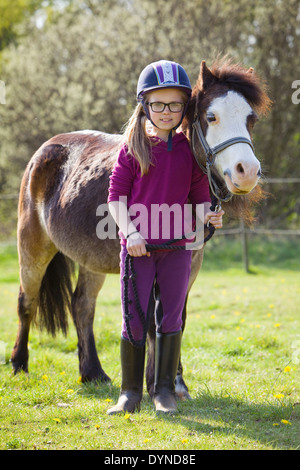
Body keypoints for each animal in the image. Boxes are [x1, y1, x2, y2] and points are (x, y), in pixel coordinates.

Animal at [11, 57, 270, 398]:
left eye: (251, 119)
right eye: (211, 116)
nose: (247, 172)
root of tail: (46, 151)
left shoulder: (189, 264)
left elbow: (176, 319)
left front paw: (177, 384)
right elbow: (149, 323)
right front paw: (154, 384)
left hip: (90, 260)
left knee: (82, 306)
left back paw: (93, 372)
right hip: (33, 244)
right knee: (26, 302)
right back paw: (19, 364)